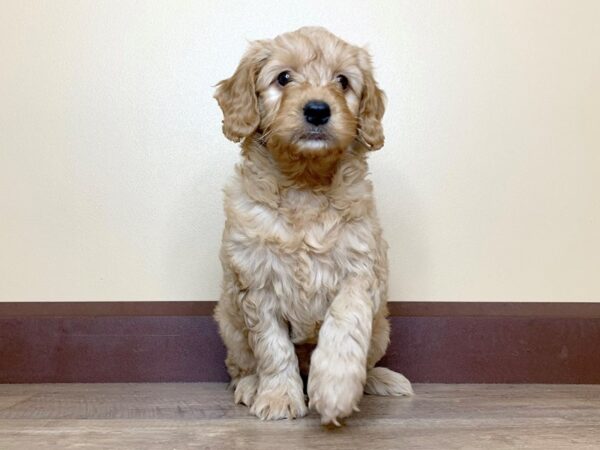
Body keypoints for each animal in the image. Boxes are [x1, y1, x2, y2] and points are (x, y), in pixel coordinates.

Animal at [212, 26, 412, 424]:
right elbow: (272, 347)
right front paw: (278, 398)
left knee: (367, 359)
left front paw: (335, 388)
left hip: (382, 328)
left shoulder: (361, 268)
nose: (318, 110)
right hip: (229, 321)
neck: (305, 183)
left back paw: (375, 379)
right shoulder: (257, 282)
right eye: (283, 78)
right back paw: (251, 385)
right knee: (241, 365)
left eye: (343, 81)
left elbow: (345, 321)